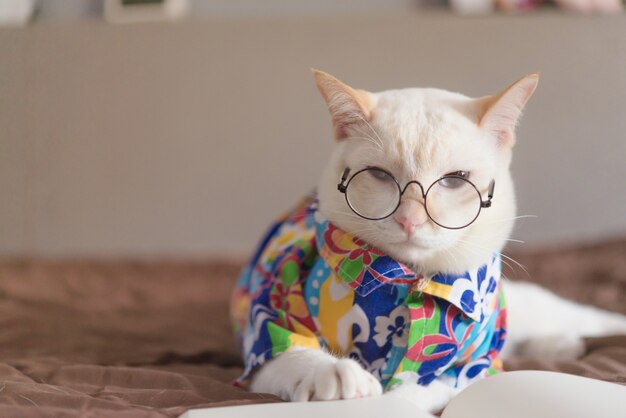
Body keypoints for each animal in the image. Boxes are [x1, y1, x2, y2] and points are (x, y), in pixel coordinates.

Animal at [234, 70, 624, 414]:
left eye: (455, 180)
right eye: (379, 175)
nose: (410, 219)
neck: (408, 277)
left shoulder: (469, 369)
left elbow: (417, 389)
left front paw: (388, 401)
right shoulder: (267, 326)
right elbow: (288, 350)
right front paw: (335, 373)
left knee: (578, 319)